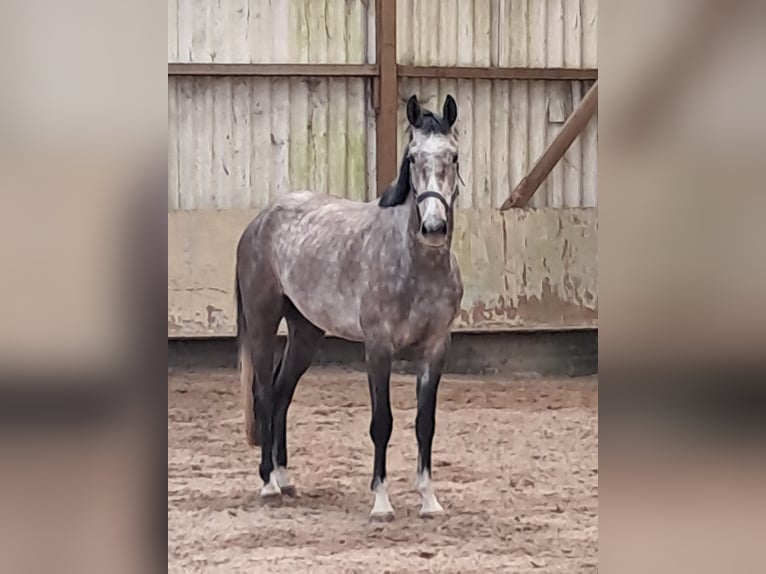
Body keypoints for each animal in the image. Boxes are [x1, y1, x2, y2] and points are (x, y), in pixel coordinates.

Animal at [235, 94, 464, 521]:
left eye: (453, 156)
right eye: (412, 157)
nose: (434, 228)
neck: (415, 265)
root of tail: (259, 221)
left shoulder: (436, 349)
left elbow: (425, 423)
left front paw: (429, 501)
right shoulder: (377, 348)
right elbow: (382, 423)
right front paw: (381, 504)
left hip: (306, 332)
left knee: (281, 392)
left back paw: (285, 478)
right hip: (261, 321)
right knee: (263, 392)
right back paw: (269, 484)